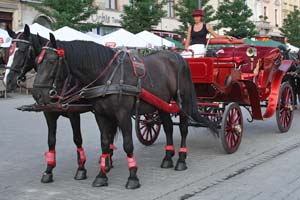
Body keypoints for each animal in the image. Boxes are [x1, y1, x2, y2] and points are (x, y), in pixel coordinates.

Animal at [5, 24, 116, 183]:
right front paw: (48, 170)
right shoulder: (48, 112)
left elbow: (77, 139)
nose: (7, 80)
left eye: (22, 50)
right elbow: (51, 140)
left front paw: (81, 168)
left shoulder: (73, 112)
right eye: (9, 50)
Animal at [32, 33, 216, 189]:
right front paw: (102, 175)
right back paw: (167, 158)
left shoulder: (123, 115)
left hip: (182, 102)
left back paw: (181, 160)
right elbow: (105, 143)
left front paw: (132, 176)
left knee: (183, 128)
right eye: (36, 62)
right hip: (163, 104)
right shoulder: (101, 116)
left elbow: (128, 144)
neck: (107, 77)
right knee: (168, 127)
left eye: (50, 62)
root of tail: (178, 57)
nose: (37, 94)